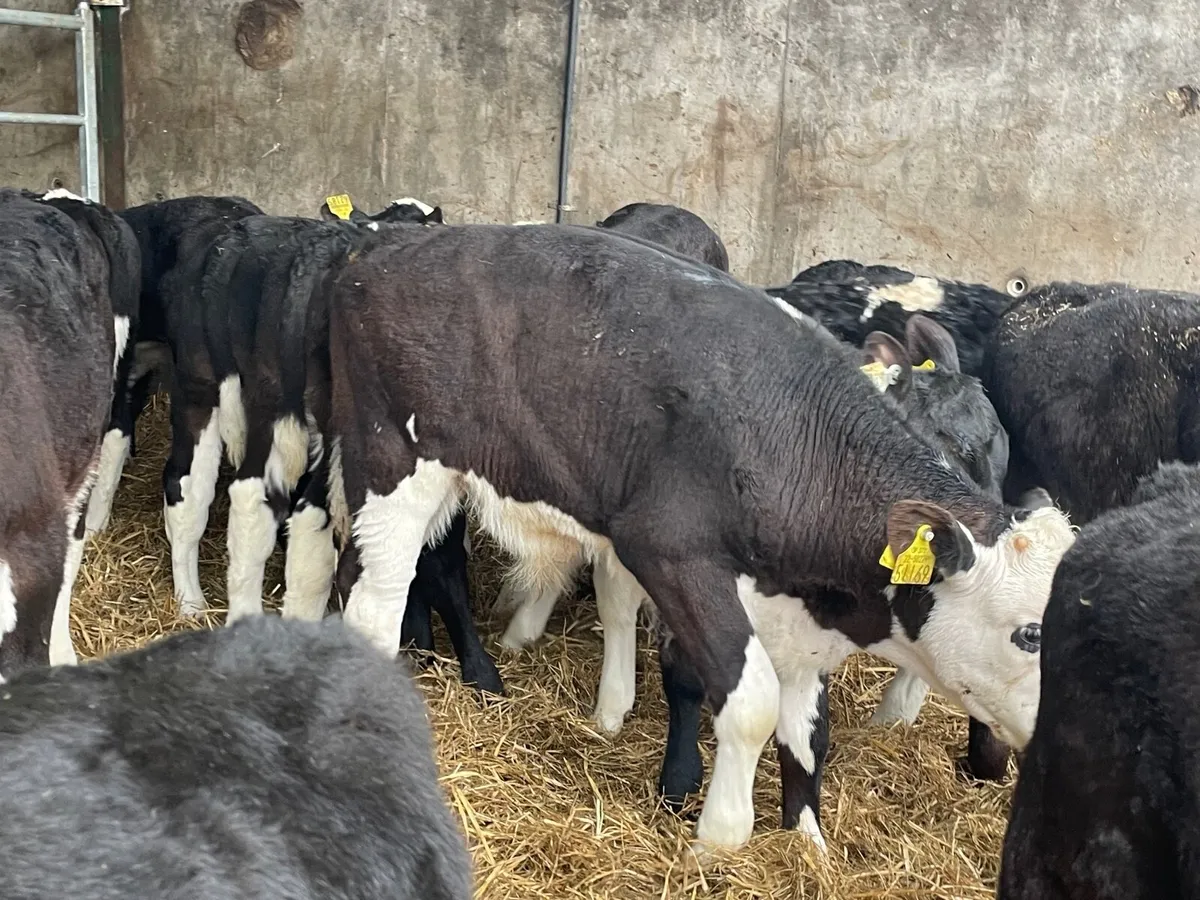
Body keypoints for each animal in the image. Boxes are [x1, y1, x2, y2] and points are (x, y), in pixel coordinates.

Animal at [325, 222, 1075, 852]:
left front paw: (807, 845)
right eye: (1030, 632)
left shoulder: (799, 611)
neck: (804, 442)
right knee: (376, 597)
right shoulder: (672, 553)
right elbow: (748, 704)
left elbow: (808, 729)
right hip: (391, 463)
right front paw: (717, 838)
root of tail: (385, 247)